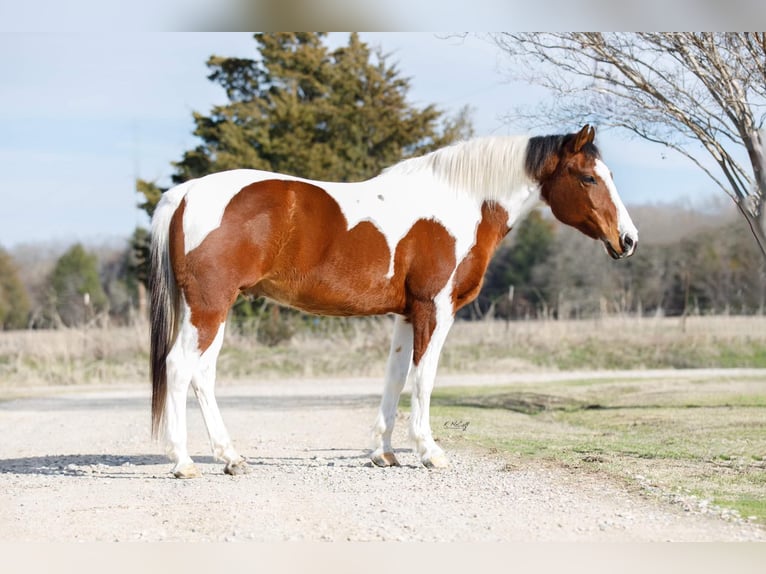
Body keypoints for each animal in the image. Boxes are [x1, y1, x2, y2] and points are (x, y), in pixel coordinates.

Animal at [148, 124, 636, 480]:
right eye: (588, 177)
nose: (628, 240)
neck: (459, 202)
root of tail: (185, 193)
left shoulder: (406, 314)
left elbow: (396, 379)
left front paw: (383, 453)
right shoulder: (435, 308)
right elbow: (424, 380)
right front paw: (429, 452)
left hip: (211, 309)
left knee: (202, 375)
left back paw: (230, 457)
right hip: (209, 307)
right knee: (179, 367)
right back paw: (183, 462)